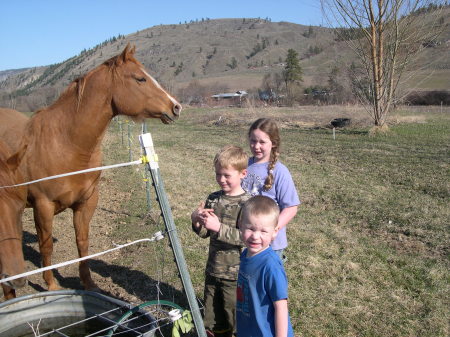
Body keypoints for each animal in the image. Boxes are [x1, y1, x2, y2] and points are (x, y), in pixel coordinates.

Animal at [0, 43, 183, 290]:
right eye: (140, 78)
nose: (176, 107)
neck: (66, 142)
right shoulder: (43, 206)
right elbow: (46, 246)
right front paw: (51, 285)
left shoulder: (86, 203)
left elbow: (83, 243)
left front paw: (88, 283)